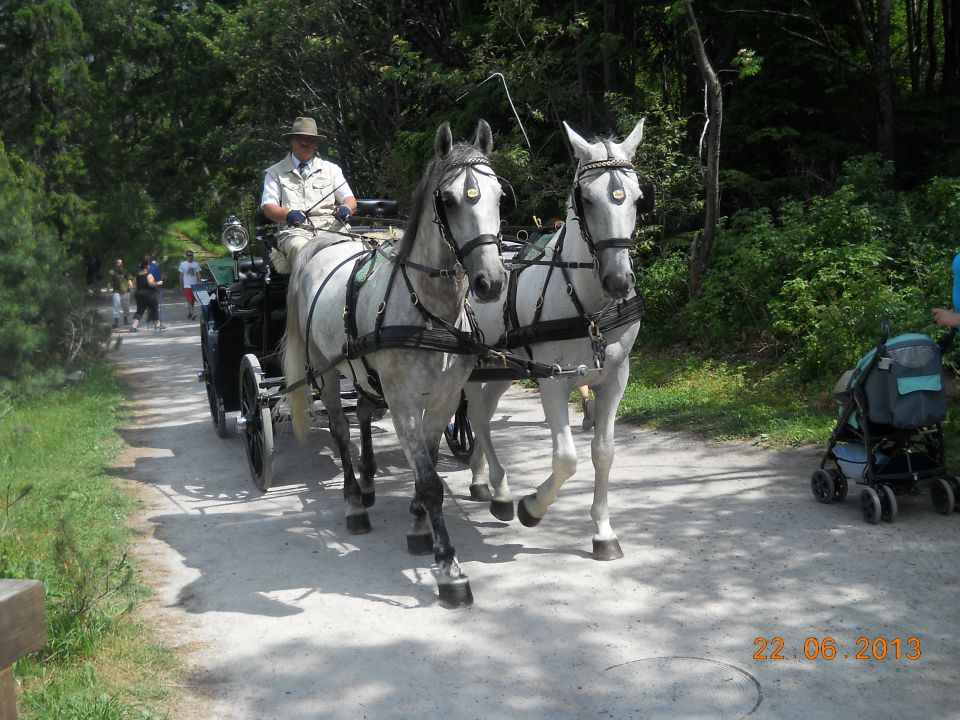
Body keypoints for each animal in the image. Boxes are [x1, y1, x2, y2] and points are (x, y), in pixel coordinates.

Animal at [284, 119, 510, 608]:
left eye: (499, 195)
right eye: (448, 200)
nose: (490, 282)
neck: (427, 311)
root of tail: (322, 243)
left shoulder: (444, 400)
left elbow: (429, 463)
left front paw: (418, 524)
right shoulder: (405, 401)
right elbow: (429, 481)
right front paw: (449, 567)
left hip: (362, 373)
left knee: (366, 414)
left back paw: (369, 484)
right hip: (326, 372)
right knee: (341, 430)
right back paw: (354, 501)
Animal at [464, 119, 644, 564]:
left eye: (638, 198)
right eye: (587, 199)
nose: (619, 281)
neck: (589, 307)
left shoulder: (616, 378)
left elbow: (603, 452)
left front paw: (603, 532)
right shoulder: (552, 380)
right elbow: (566, 459)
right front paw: (532, 507)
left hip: (506, 365)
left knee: (483, 413)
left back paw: (482, 479)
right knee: (475, 416)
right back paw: (501, 491)